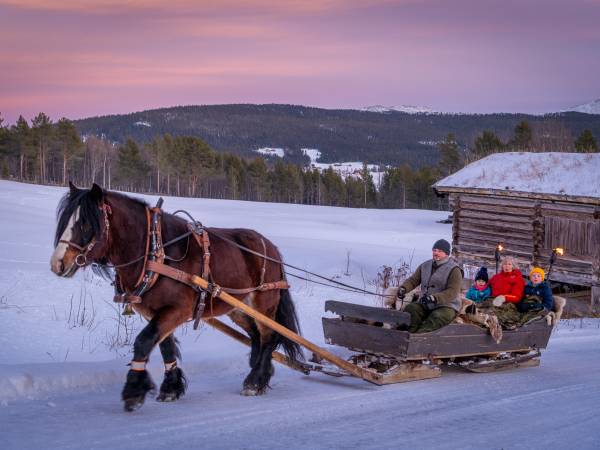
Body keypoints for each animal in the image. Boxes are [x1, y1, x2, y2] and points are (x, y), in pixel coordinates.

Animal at [49, 183, 302, 412]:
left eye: (85, 223)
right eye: (65, 221)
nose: (57, 264)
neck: (154, 250)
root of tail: (272, 248)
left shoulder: (179, 309)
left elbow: (143, 341)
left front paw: (133, 390)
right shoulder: (155, 311)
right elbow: (164, 345)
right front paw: (171, 387)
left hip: (263, 304)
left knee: (269, 337)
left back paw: (255, 381)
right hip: (238, 308)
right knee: (256, 336)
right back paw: (260, 374)